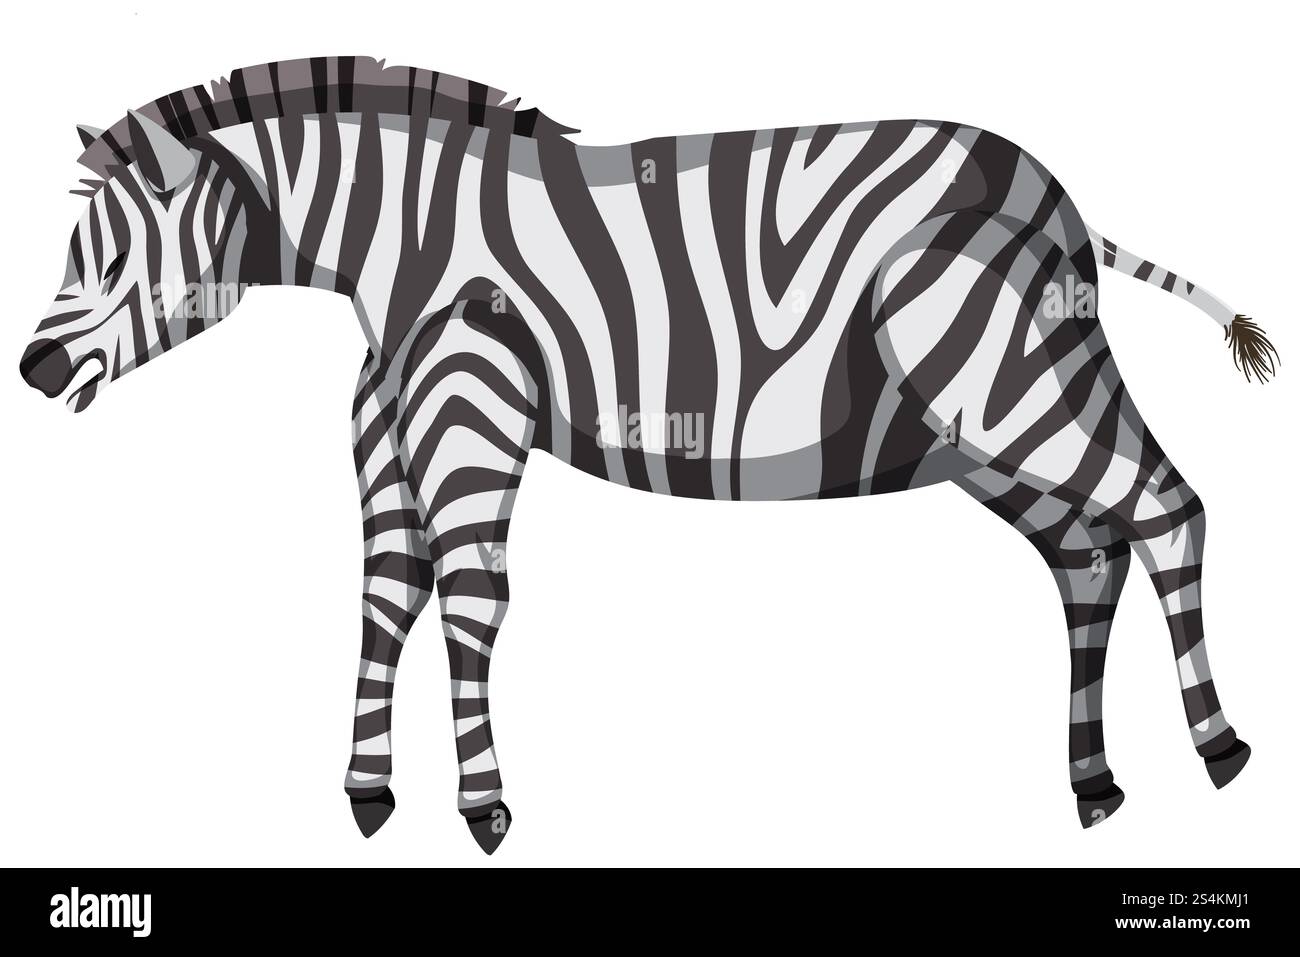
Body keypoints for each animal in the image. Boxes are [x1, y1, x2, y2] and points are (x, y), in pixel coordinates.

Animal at [20, 56, 1276, 854]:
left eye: (109, 253)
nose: (30, 371)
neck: (391, 242)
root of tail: (1060, 201)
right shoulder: (395, 418)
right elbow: (387, 593)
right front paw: (368, 791)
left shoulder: (472, 399)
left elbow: (469, 598)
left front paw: (484, 807)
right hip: (976, 427)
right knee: (1085, 555)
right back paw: (1093, 782)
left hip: (1005, 380)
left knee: (1165, 508)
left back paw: (1219, 748)